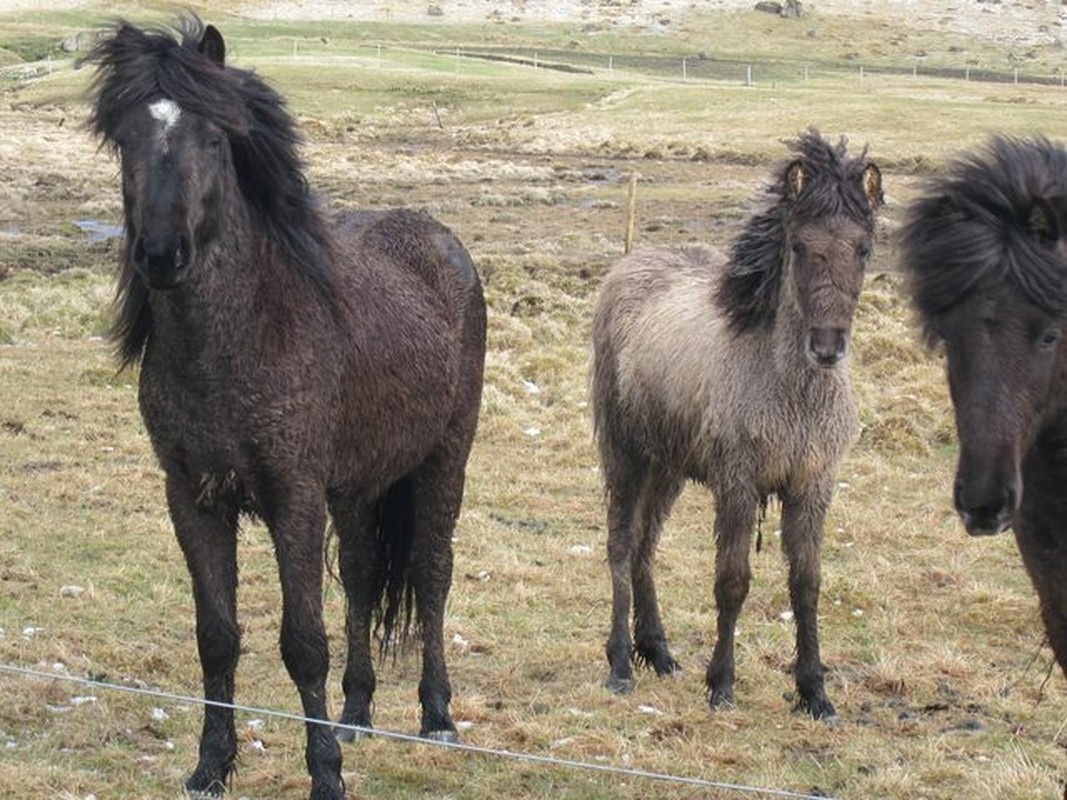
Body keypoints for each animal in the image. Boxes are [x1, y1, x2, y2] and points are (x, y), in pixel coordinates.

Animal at [85, 18, 486, 800]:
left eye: (214, 138)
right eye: (125, 138)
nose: (161, 254)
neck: (243, 335)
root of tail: (440, 239)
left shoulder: (292, 494)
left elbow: (302, 643)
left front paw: (325, 774)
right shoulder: (193, 496)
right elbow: (216, 636)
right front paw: (210, 766)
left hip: (443, 460)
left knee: (430, 573)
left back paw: (436, 717)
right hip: (359, 485)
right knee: (360, 574)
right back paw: (357, 712)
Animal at [593, 131, 883, 721]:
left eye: (862, 248)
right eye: (798, 246)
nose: (826, 346)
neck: (793, 394)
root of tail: (628, 267)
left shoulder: (813, 486)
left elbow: (806, 585)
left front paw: (814, 692)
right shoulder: (738, 484)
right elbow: (732, 581)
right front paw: (722, 683)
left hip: (668, 467)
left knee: (645, 545)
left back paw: (657, 651)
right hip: (626, 454)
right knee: (620, 545)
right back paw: (620, 664)